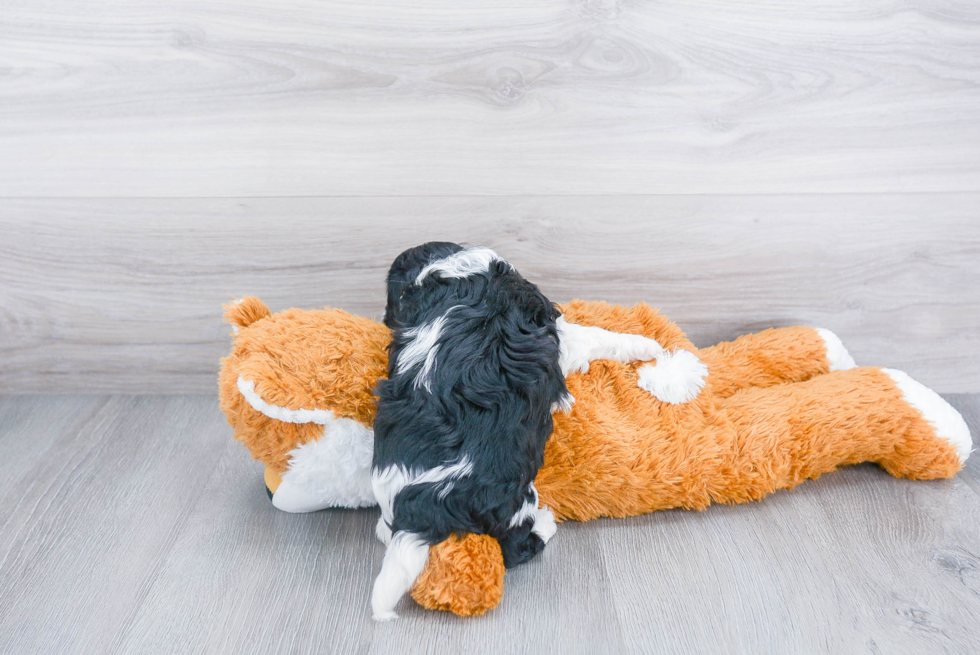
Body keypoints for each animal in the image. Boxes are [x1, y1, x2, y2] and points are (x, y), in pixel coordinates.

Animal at [372, 245, 684, 620]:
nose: (384, 319)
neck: (454, 274)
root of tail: (420, 510)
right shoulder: (558, 333)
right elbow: (599, 336)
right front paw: (647, 345)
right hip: (513, 498)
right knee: (517, 547)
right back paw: (545, 524)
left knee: (384, 530)